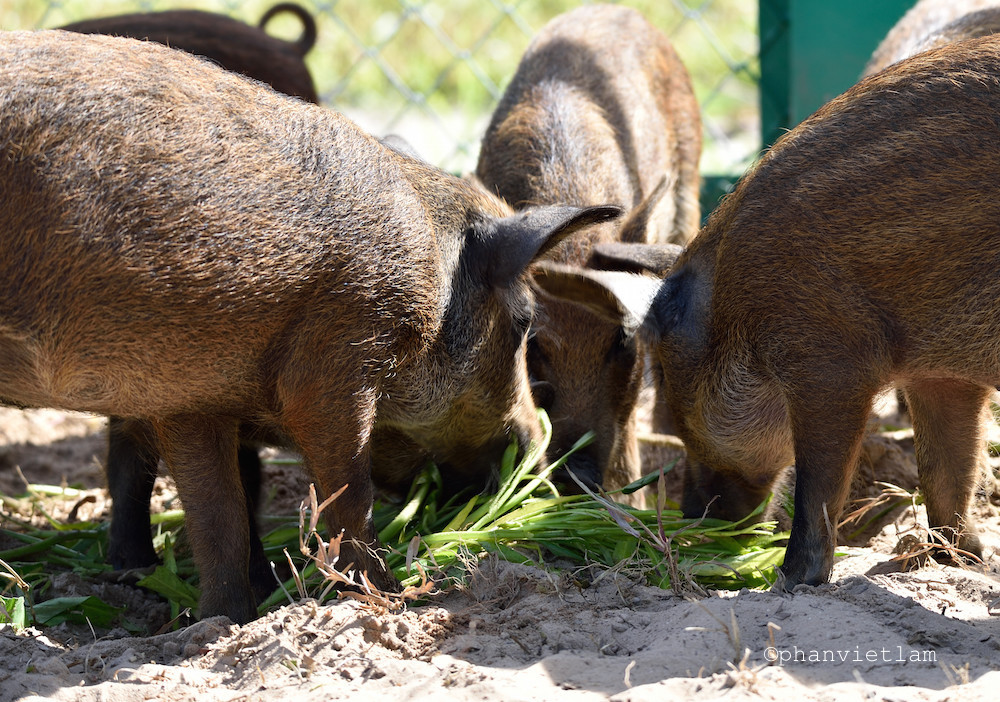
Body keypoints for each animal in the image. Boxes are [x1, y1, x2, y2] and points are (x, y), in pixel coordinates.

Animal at [0, 28, 616, 620]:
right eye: (523, 322)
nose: (536, 456)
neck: (429, 287)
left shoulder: (191, 395)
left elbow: (222, 507)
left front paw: (226, 614)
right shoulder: (334, 361)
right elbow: (342, 489)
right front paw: (392, 596)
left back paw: (134, 577)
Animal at [536, 35, 1000, 592]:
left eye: (670, 392)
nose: (695, 515)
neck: (734, 310)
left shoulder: (828, 357)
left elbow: (817, 488)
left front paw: (790, 581)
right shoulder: (941, 375)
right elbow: (946, 471)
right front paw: (958, 560)